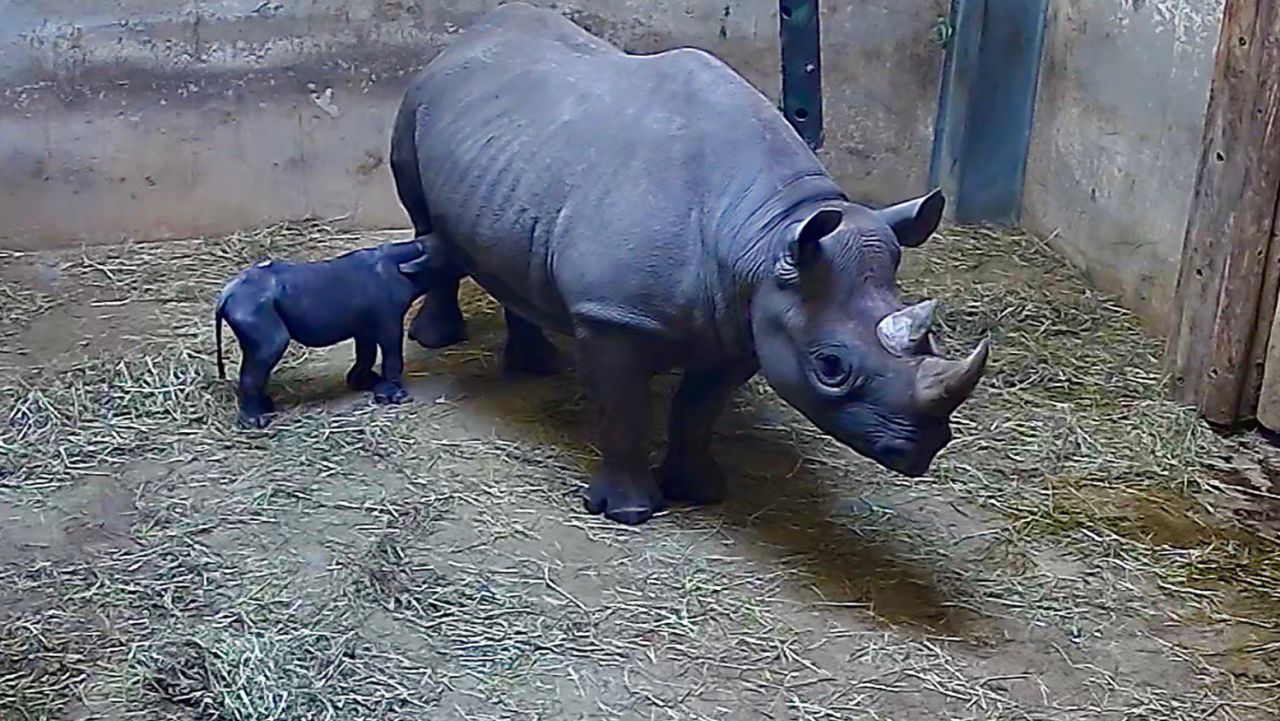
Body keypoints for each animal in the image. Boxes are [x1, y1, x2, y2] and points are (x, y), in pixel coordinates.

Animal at [216, 236, 445, 427]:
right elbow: (392, 353)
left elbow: (366, 352)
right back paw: (255, 421)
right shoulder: (388, 320)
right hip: (252, 309)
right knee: (270, 348)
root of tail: (226, 294)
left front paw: (364, 381)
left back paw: (264, 406)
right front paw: (396, 396)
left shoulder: (365, 325)